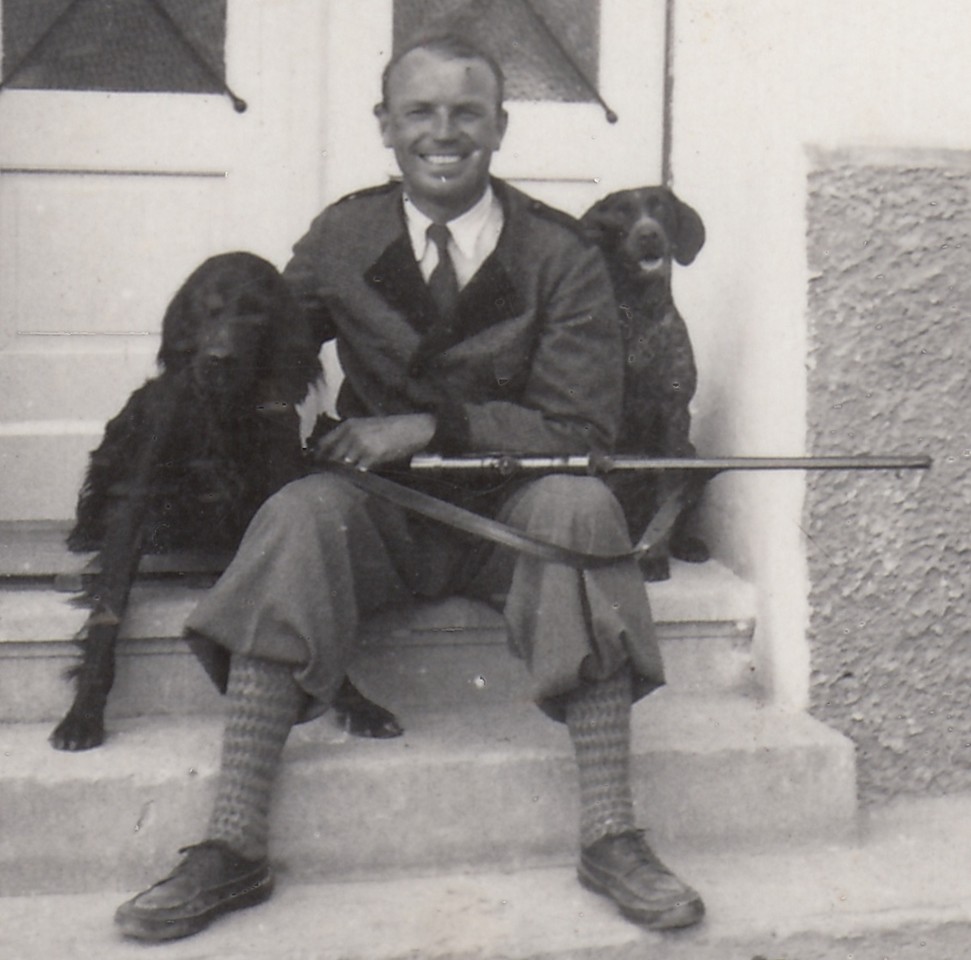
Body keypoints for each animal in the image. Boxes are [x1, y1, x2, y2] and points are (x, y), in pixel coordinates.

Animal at [52, 252, 402, 750]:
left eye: (256, 317)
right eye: (208, 309)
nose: (218, 359)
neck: (222, 410)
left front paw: (354, 701)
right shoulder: (136, 504)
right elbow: (109, 608)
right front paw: (83, 712)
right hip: (122, 432)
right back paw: (84, 532)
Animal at [581, 186, 710, 580]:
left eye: (661, 208)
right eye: (621, 213)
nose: (649, 234)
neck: (638, 312)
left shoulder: (674, 415)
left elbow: (666, 495)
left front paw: (655, 557)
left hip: (691, 453)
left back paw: (686, 544)